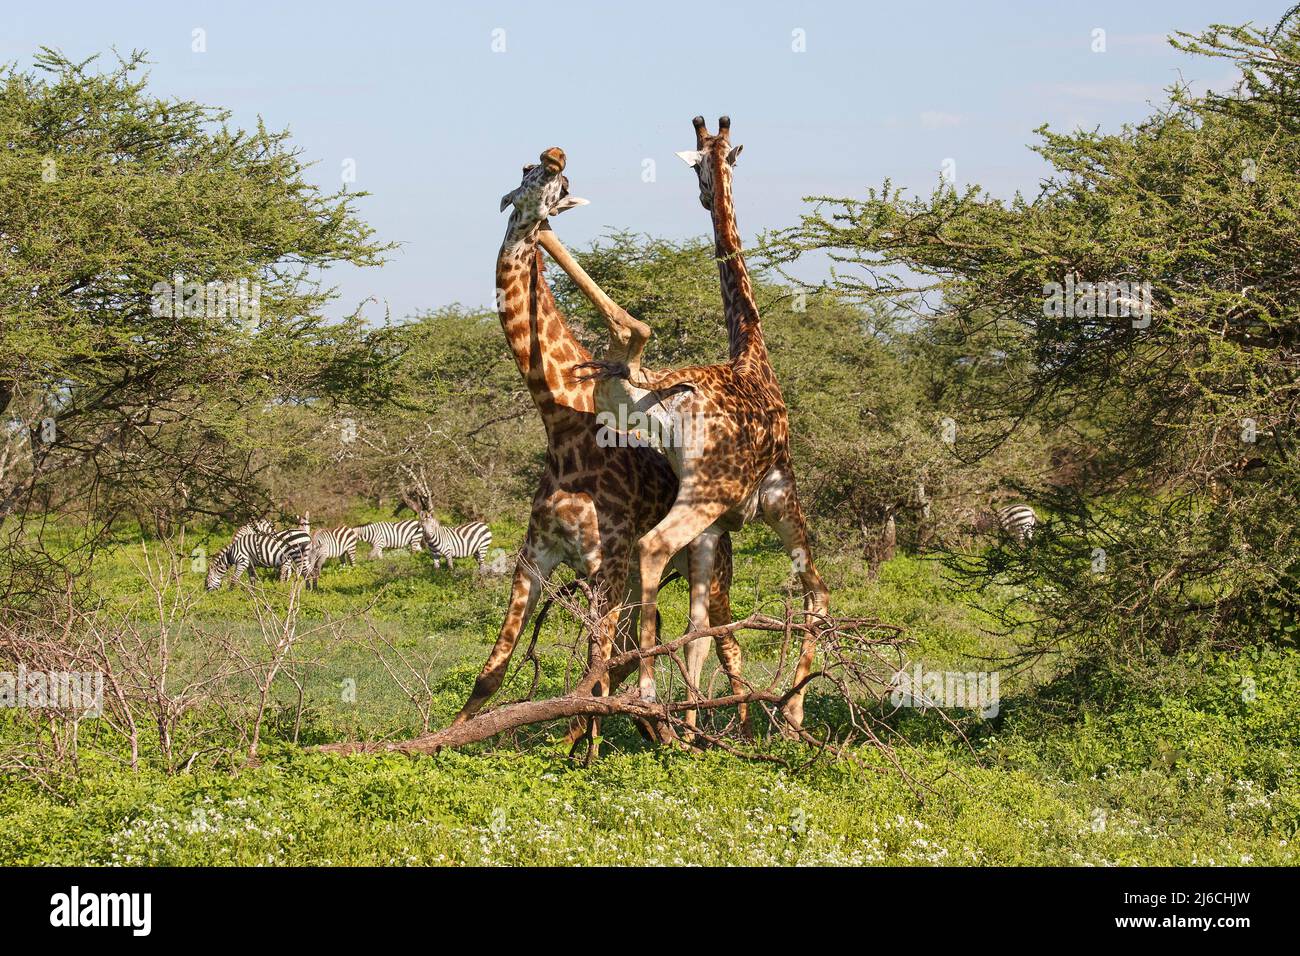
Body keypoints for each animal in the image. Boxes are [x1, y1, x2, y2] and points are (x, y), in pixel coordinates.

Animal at [452, 148, 749, 743]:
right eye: (527, 174)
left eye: (559, 185)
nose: (554, 156)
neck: (565, 432)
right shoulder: (535, 557)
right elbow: (492, 672)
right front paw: (441, 739)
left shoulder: (603, 563)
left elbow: (592, 671)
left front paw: (576, 749)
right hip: (642, 579)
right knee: (645, 647)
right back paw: (666, 732)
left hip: (709, 567)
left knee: (725, 644)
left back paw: (742, 734)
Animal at [579, 118, 830, 731]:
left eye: (702, 166)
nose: (703, 194)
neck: (752, 350)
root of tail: (674, 395)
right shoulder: (776, 497)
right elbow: (809, 596)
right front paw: (787, 712)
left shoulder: (718, 528)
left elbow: (698, 630)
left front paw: (694, 724)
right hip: (717, 496)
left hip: (700, 501)